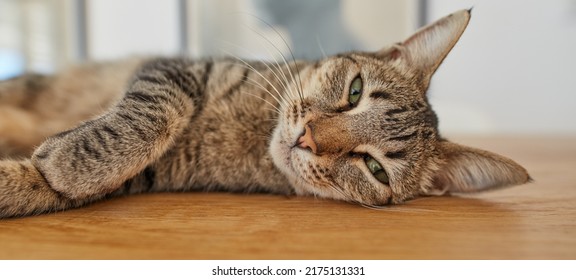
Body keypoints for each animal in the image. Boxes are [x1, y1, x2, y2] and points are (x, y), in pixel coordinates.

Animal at [0, 9, 532, 218]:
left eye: (376, 169)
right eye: (355, 90)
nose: (308, 138)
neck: (254, 133)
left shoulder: (153, 174)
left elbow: (35, 186)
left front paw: (55, 168)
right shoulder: (174, 70)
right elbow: (153, 115)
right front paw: (75, 160)